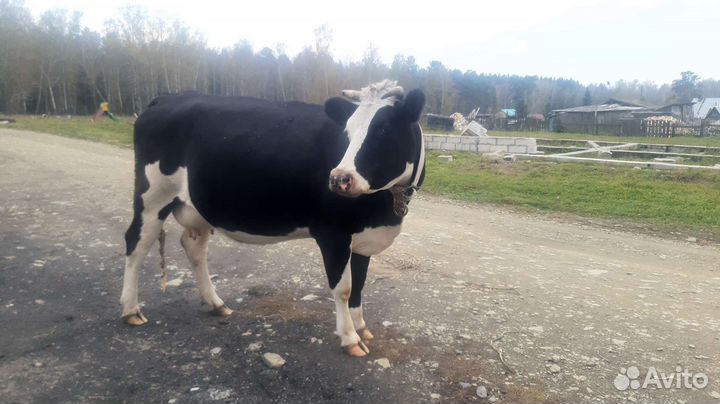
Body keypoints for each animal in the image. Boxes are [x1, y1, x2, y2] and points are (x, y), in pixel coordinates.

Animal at [120, 80, 426, 357]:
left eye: (383, 130)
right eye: (347, 132)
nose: (339, 179)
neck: (384, 210)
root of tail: (167, 97)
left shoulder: (365, 235)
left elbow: (360, 283)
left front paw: (361, 327)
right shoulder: (332, 233)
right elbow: (344, 288)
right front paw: (350, 337)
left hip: (196, 205)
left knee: (194, 248)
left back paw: (215, 303)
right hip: (153, 196)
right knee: (136, 242)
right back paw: (130, 309)